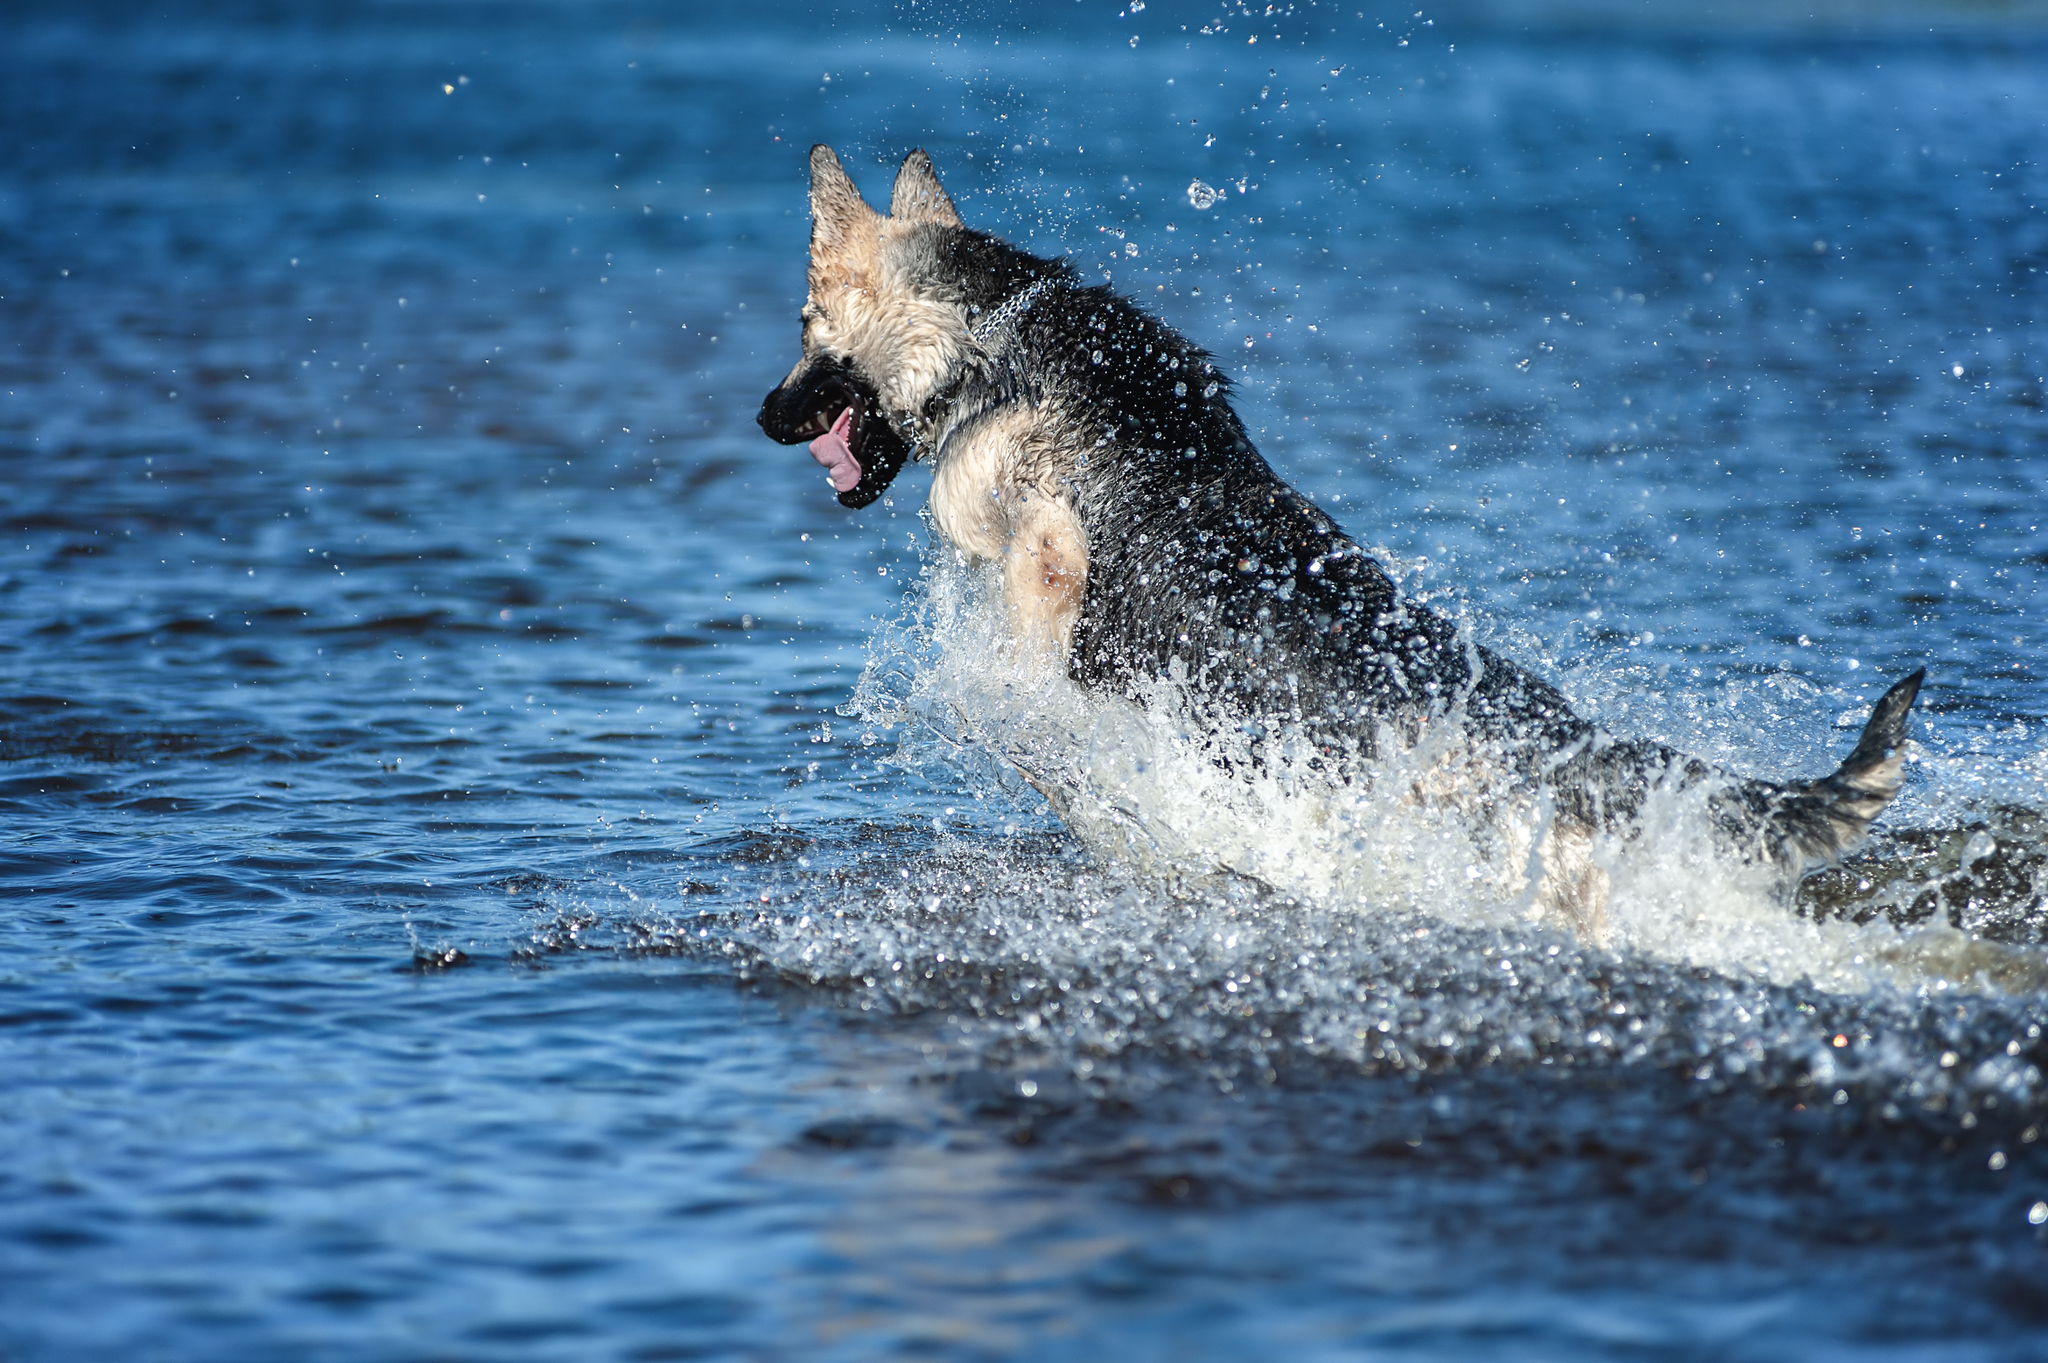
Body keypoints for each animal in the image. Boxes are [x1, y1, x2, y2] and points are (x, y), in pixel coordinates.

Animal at [761, 148, 1925, 933]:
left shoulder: (1034, 577)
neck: (987, 330)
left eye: (805, 322)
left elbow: (1013, 709)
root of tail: (1568, 742)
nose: (763, 418)